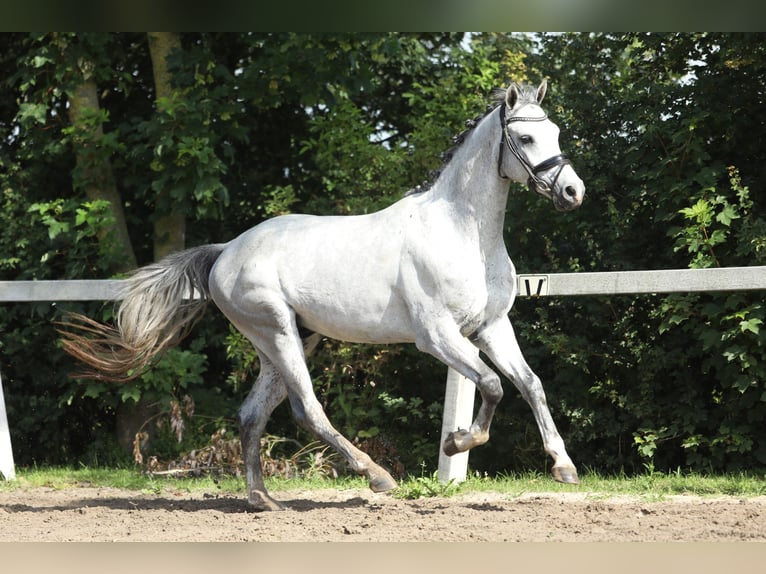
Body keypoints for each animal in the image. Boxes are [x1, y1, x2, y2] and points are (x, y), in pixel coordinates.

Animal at [59, 79, 585, 511]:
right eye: (525, 139)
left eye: (557, 132)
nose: (573, 192)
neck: (464, 233)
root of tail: (226, 251)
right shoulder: (437, 335)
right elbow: (493, 384)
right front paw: (457, 442)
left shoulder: (490, 327)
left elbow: (530, 383)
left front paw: (563, 467)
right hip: (277, 331)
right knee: (307, 408)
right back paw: (376, 476)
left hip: (290, 339)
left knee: (252, 415)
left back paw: (264, 501)